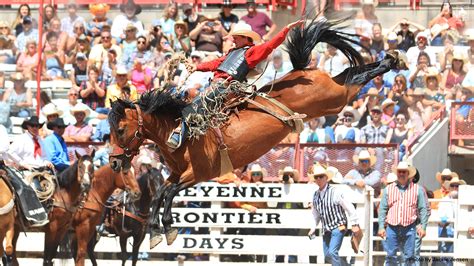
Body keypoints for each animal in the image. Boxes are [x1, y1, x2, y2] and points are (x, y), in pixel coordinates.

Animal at [107, 18, 400, 247]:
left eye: (120, 130)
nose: (113, 163)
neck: (180, 130)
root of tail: (303, 71)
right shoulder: (178, 174)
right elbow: (160, 194)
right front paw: (157, 232)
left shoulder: (198, 174)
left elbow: (168, 194)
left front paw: (167, 227)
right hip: (332, 96)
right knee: (349, 73)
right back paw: (391, 58)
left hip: (334, 99)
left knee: (353, 79)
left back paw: (391, 60)